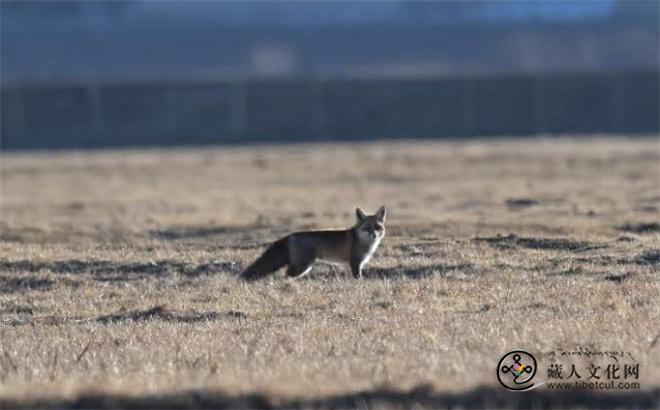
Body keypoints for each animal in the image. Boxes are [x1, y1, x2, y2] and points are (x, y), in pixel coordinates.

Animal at [240, 205, 386, 282]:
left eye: (377, 227)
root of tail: (290, 235)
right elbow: (357, 277)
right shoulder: (355, 262)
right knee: (286, 274)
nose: (374, 235)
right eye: (367, 228)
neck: (360, 239)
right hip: (303, 265)